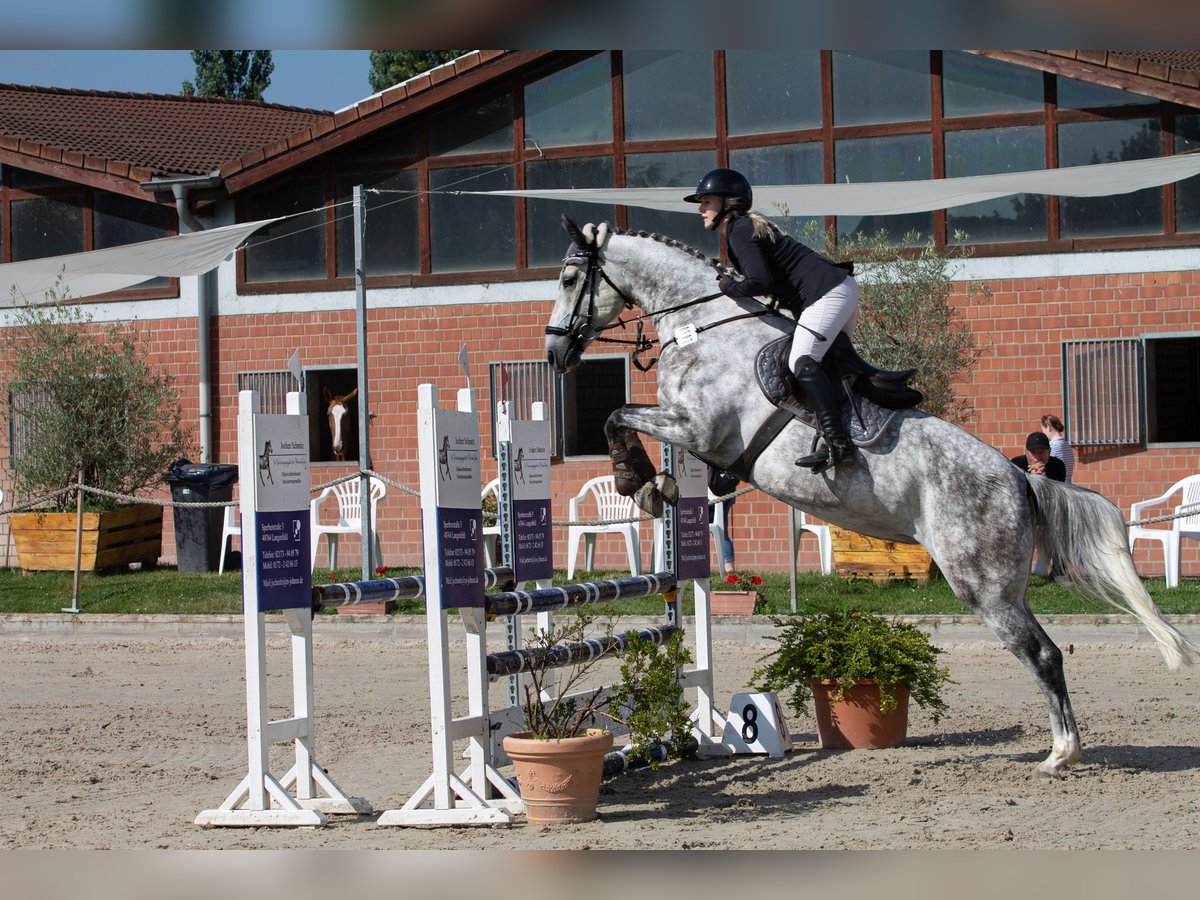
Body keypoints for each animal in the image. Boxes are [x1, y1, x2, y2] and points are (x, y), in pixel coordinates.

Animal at [547, 217, 1200, 777]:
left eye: (570, 279)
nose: (554, 353)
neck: (702, 326)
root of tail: (1021, 480)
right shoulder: (698, 437)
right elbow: (645, 435)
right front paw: (654, 486)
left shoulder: (698, 427)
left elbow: (617, 414)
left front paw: (633, 477)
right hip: (1001, 582)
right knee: (1045, 651)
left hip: (982, 585)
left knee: (1042, 654)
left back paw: (1060, 754)